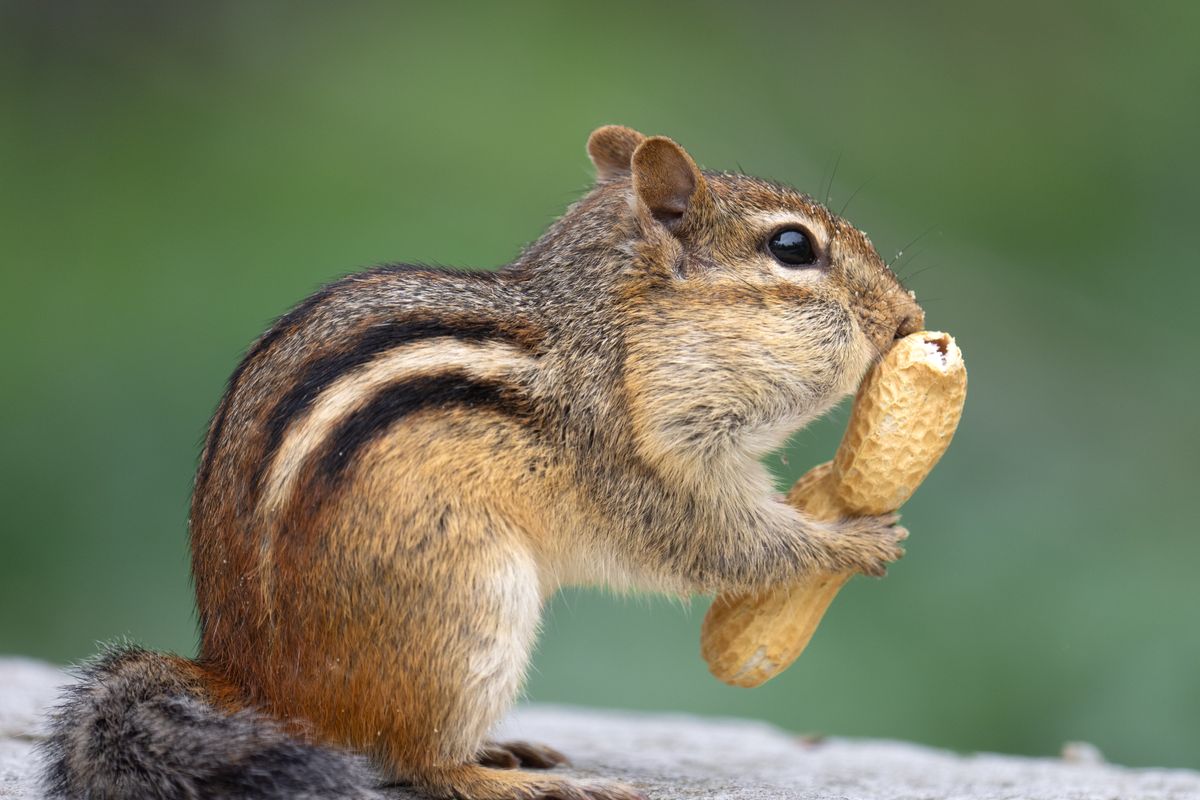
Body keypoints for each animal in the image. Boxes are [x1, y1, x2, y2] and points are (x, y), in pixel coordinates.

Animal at [41, 126, 924, 800]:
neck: (616, 337)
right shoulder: (635, 464)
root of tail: (245, 683)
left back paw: (508, 750)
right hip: (467, 611)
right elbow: (722, 545)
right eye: (792, 247)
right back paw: (529, 782)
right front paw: (856, 541)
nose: (911, 318)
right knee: (418, 763)